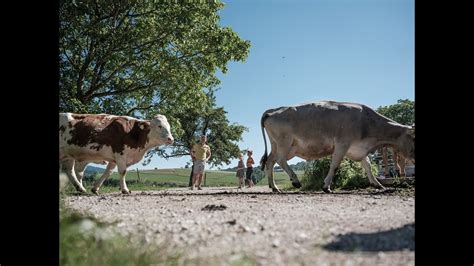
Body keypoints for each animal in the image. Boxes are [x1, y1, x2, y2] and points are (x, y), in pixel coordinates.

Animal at [260, 101, 414, 192]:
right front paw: (326, 186)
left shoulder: (358, 149)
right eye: (414, 138)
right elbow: (334, 165)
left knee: (270, 162)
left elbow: (368, 166)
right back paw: (296, 181)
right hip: (285, 143)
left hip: (278, 145)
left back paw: (274, 187)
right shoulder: (342, 144)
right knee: (280, 160)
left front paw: (377, 184)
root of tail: (273, 110)